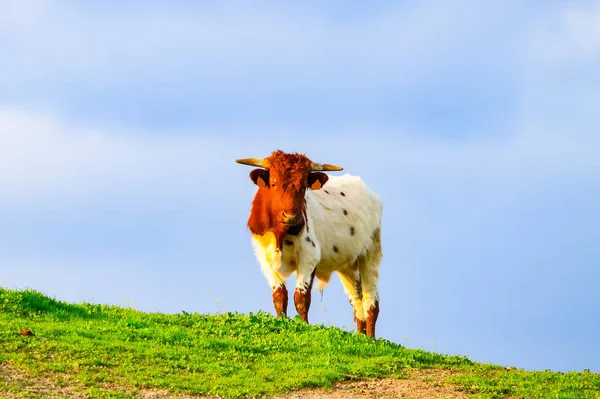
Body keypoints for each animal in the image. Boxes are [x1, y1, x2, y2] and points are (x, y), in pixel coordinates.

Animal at [236, 152, 384, 340]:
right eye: (274, 183)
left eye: (303, 186)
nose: (291, 216)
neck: (280, 235)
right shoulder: (265, 258)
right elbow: (279, 295)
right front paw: (282, 322)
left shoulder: (309, 255)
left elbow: (301, 296)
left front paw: (304, 325)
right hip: (348, 265)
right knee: (356, 299)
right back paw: (361, 336)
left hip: (372, 252)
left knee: (371, 299)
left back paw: (371, 339)